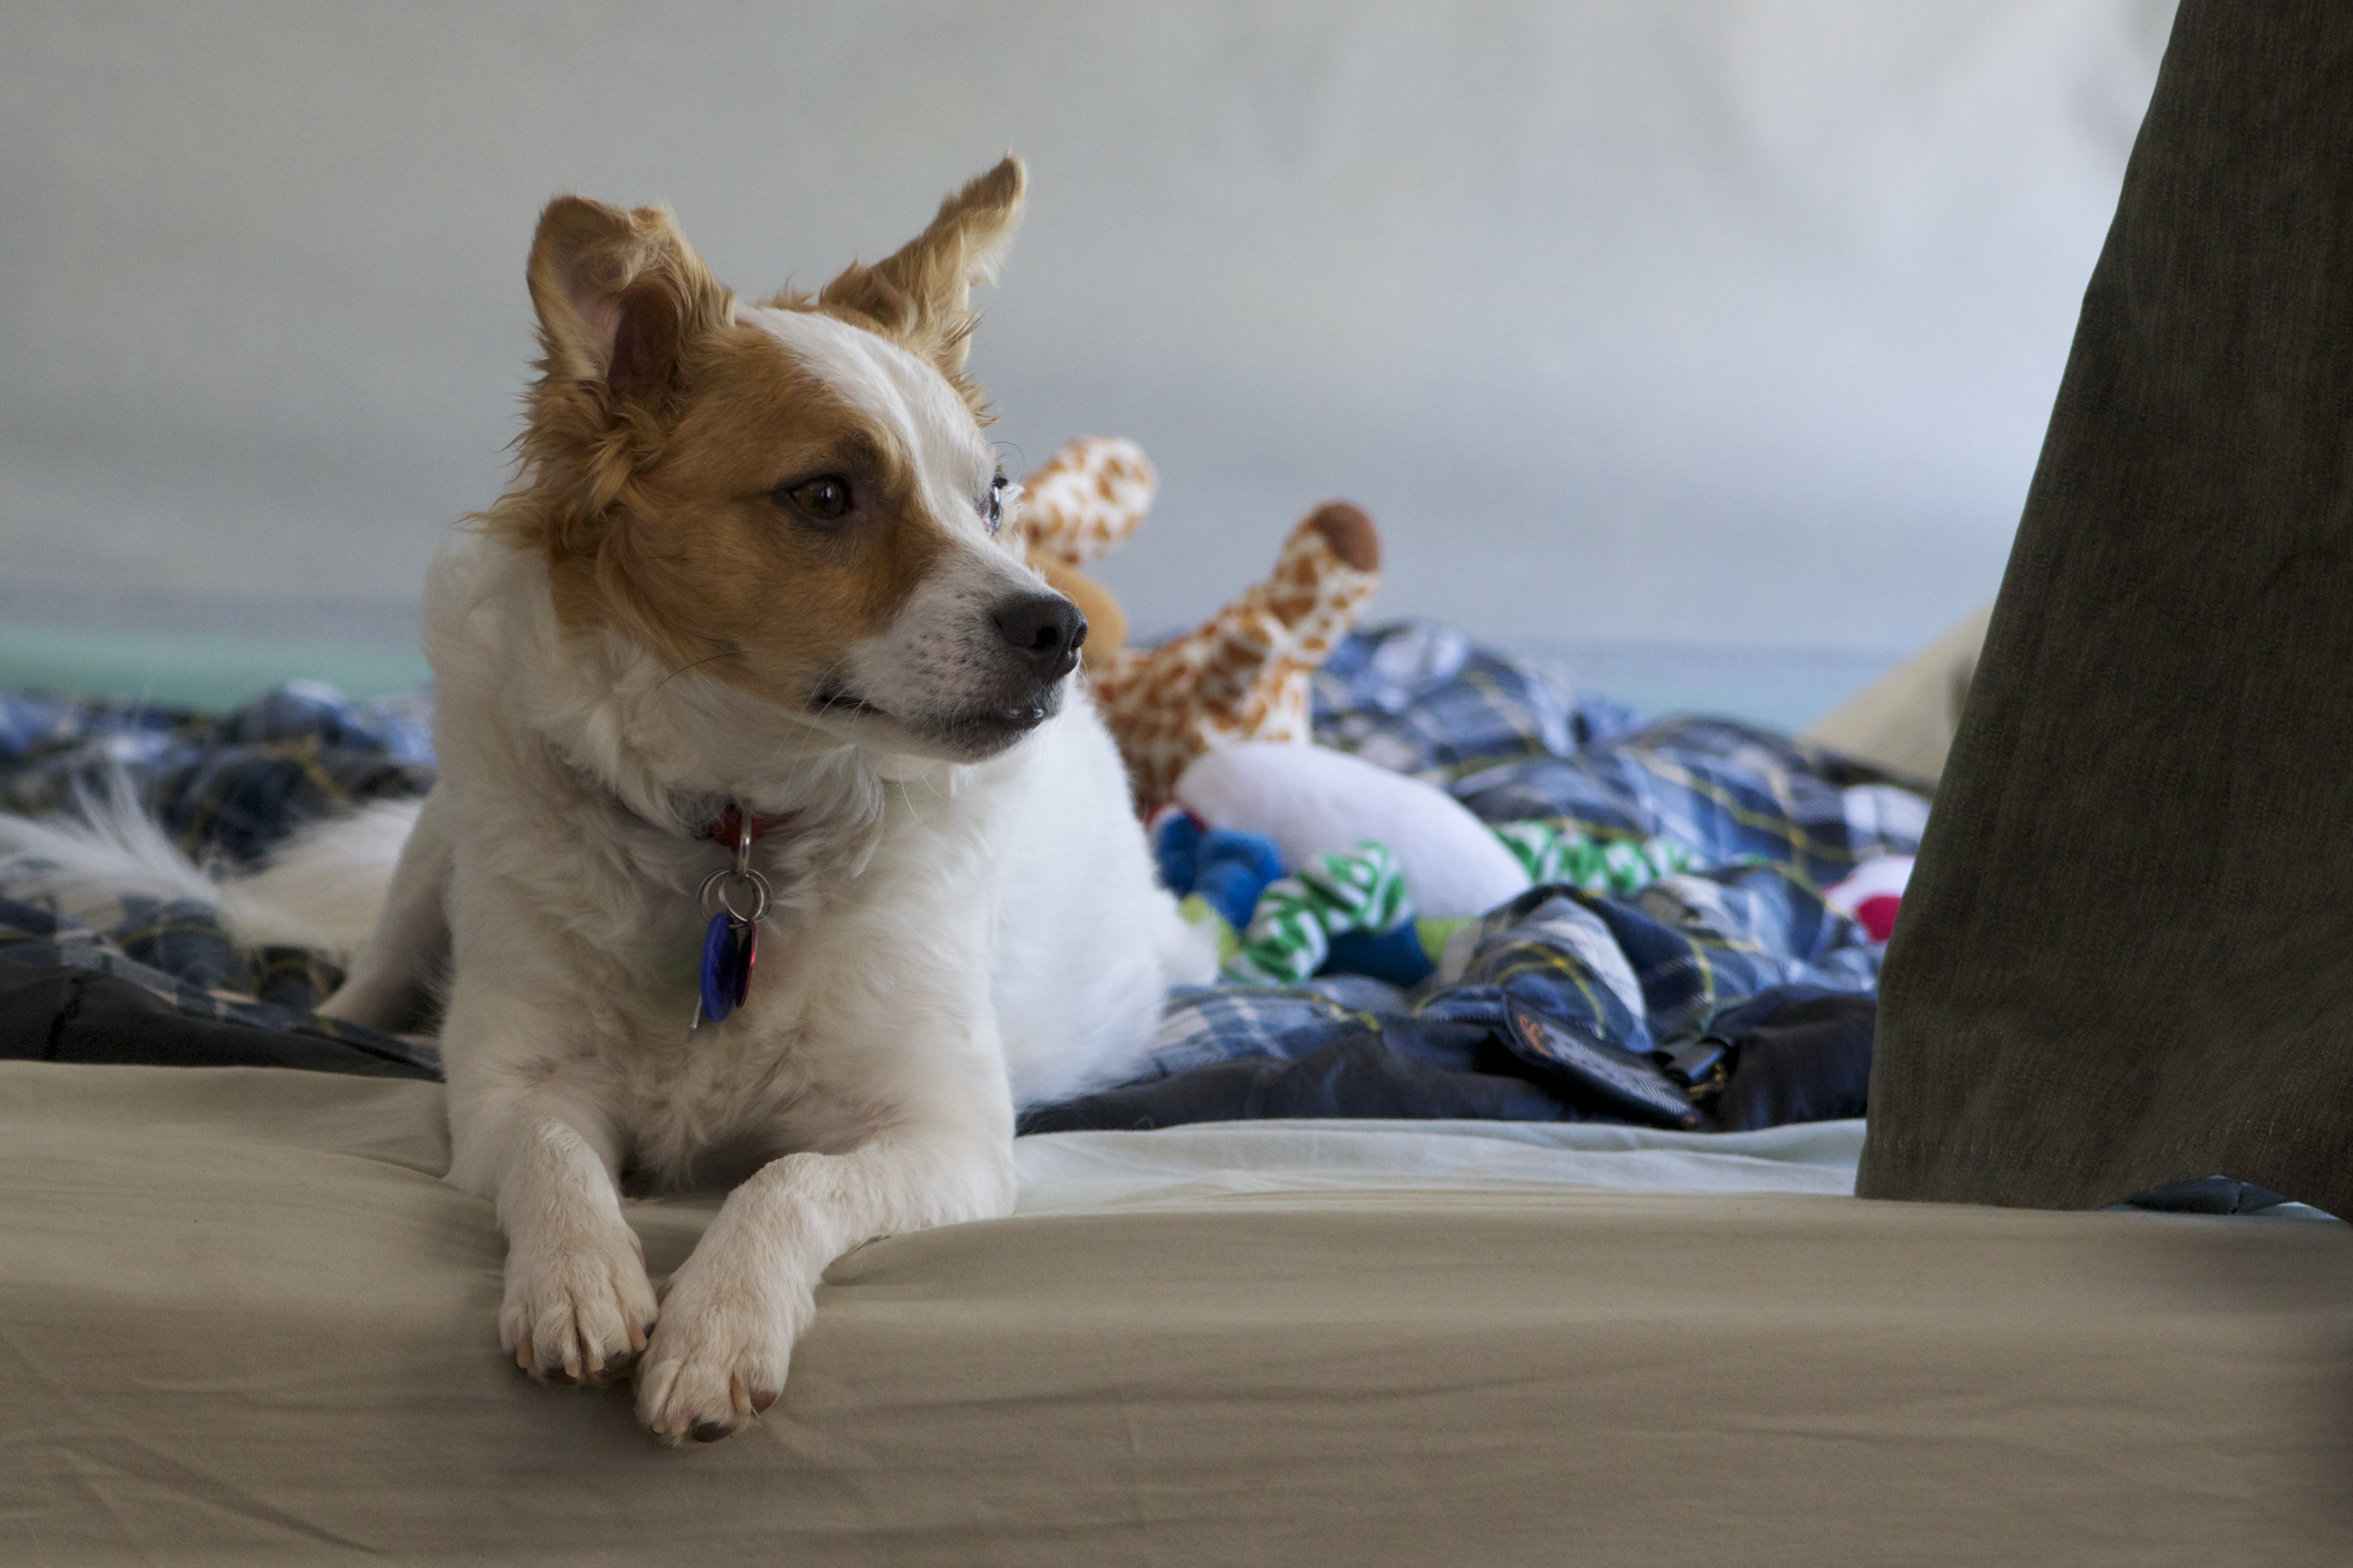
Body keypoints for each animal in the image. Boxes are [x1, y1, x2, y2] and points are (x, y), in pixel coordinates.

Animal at [8, 158, 1214, 1443]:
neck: (738, 829)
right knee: (370, 977)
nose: (1058, 629)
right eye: (826, 495)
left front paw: (717, 1326)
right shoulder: (510, 1088)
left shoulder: (946, 1138)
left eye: (992, 499)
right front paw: (577, 1280)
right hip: (434, 853)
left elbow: (787, 1181)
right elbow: (554, 1160)